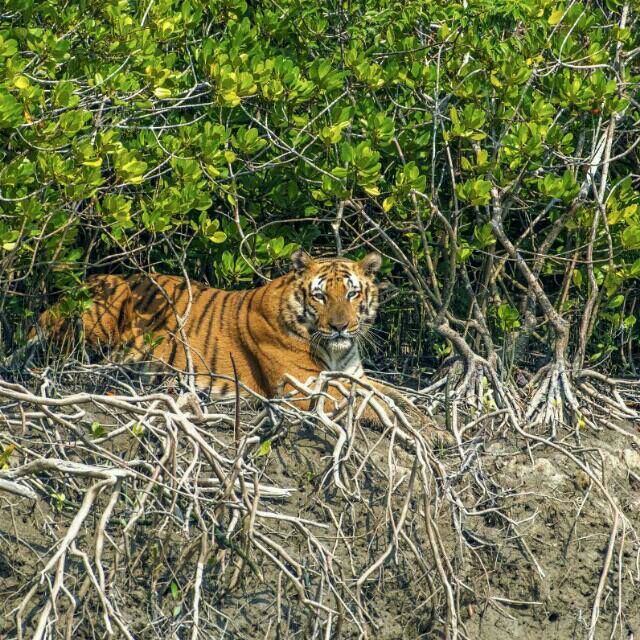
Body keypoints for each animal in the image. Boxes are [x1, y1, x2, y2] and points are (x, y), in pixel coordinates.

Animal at [31, 251, 390, 416]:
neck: (335, 351)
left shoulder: (354, 376)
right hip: (109, 296)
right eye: (320, 296)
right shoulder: (303, 389)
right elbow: (377, 406)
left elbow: (388, 395)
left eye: (352, 294)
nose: (340, 327)